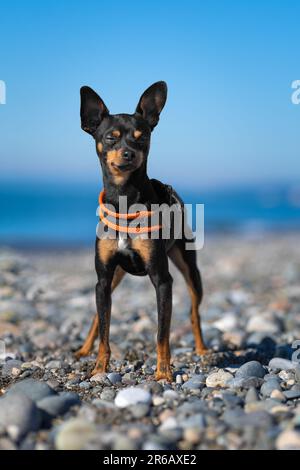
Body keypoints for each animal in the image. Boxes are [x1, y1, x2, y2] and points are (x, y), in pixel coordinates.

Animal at [75, 81, 207, 382]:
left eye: (142, 137)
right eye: (110, 138)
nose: (129, 154)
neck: (125, 200)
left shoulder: (163, 281)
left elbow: (162, 334)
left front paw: (163, 373)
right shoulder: (102, 278)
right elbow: (105, 330)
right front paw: (99, 368)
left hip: (190, 269)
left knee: (194, 312)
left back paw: (202, 349)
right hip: (114, 278)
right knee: (97, 317)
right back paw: (84, 350)